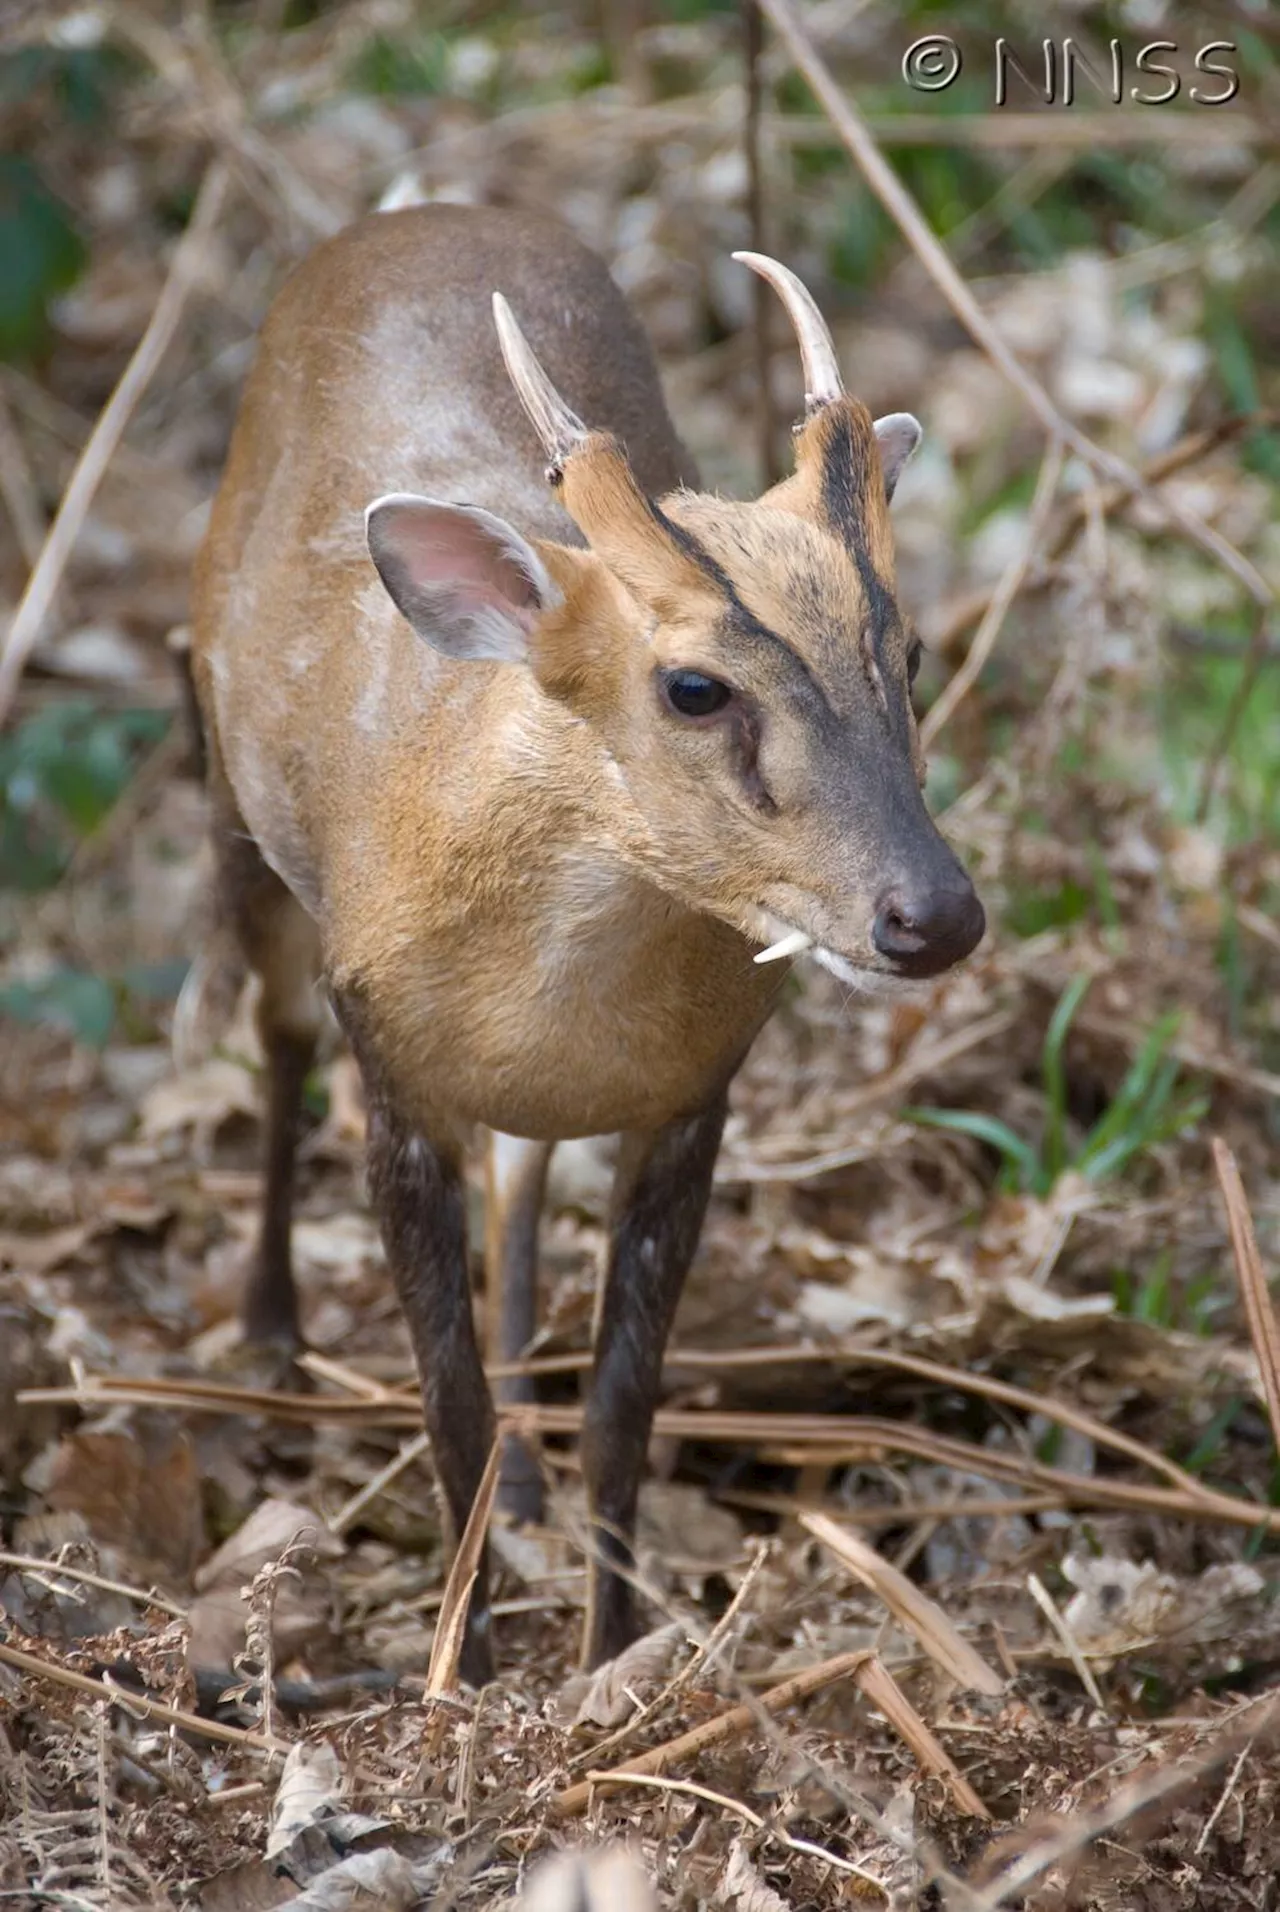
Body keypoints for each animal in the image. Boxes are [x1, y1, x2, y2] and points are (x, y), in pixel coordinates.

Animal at [181, 201, 979, 1682]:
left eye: (904, 652)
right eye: (693, 685)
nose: (934, 913)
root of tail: (426, 211)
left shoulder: (693, 1096)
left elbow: (620, 1408)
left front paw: (610, 1652)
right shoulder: (392, 1073)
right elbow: (445, 1410)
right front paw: (468, 1670)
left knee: (521, 1177)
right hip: (227, 788)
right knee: (273, 1039)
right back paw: (268, 1333)